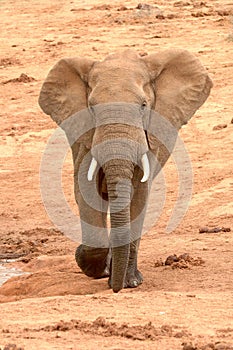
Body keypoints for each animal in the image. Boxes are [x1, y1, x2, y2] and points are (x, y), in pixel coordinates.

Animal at [38, 47, 213, 292]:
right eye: (91, 107)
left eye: (143, 106)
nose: (116, 288)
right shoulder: (85, 137)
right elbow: (86, 189)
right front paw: (92, 263)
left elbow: (138, 197)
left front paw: (129, 282)